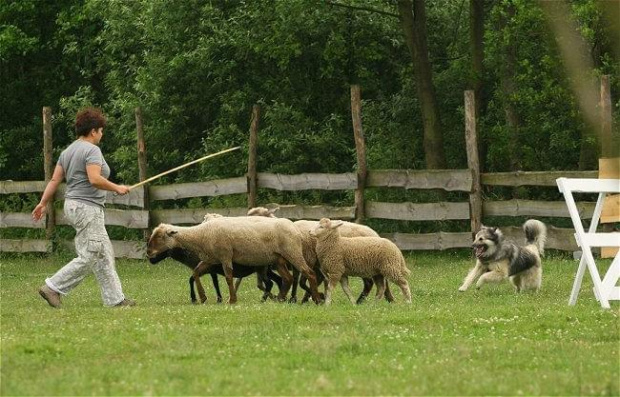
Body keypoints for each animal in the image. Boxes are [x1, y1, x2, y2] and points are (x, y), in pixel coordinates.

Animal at [145, 213, 320, 304]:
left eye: (159, 237)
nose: (148, 254)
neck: (201, 235)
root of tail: (295, 227)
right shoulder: (211, 259)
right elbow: (195, 273)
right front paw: (202, 297)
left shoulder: (225, 256)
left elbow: (228, 277)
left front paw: (231, 299)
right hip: (277, 259)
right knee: (288, 278)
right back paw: (280, 298)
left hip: (292, 252)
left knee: (309, 273)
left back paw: (316, 299)